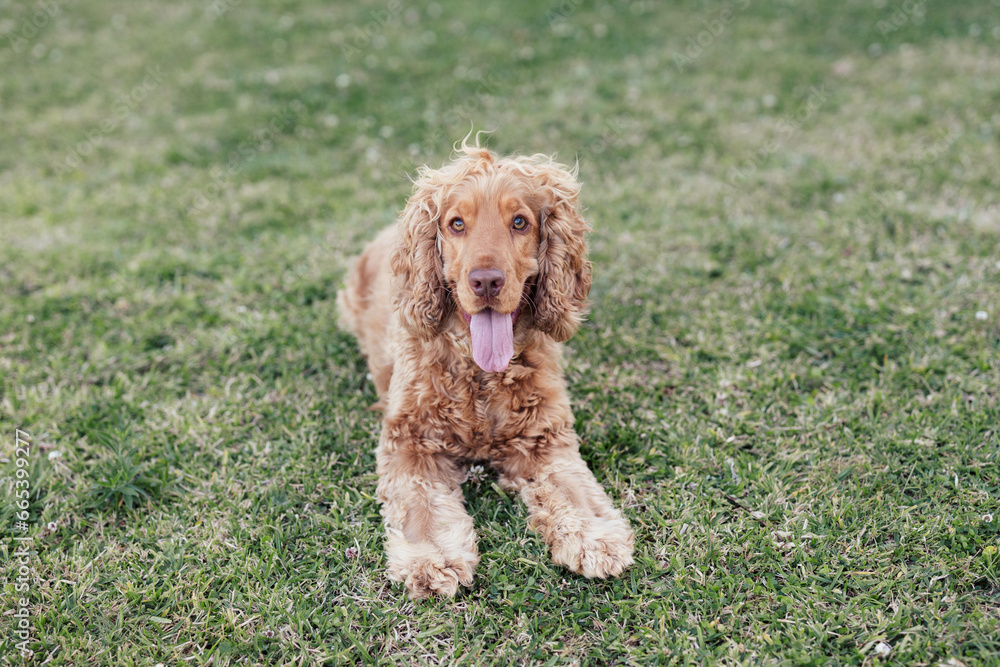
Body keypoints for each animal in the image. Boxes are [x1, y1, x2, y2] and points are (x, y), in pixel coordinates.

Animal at [336, 142, 632, 600]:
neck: (479, 372)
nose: (486, 282)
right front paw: (432, 558)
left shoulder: (545, 439)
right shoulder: (410, 442)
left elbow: (572, 487)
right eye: (456, 224)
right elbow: (421, 503)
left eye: (520, 222)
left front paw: (594, 537)